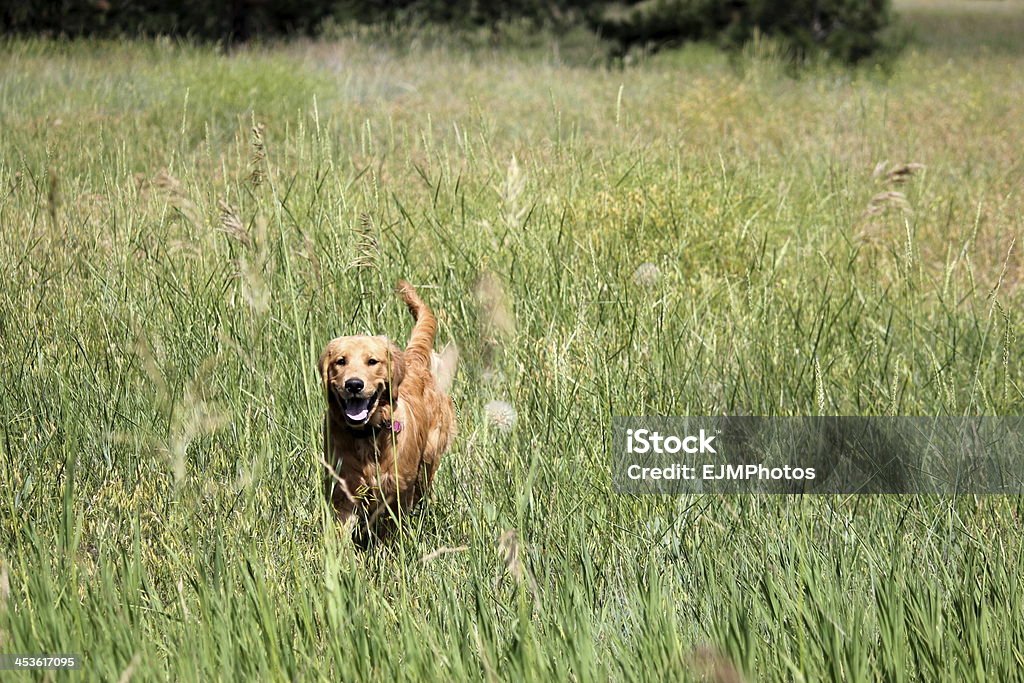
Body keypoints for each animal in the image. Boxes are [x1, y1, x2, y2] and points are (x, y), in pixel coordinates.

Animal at [315, 278, 452, 544]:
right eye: (341, 361)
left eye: (372, 361)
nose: (354, 384)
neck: (366, 435)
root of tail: (413, 358)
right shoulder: (343, 489)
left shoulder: (396, 491)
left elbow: (389, 531)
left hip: (428, 460)